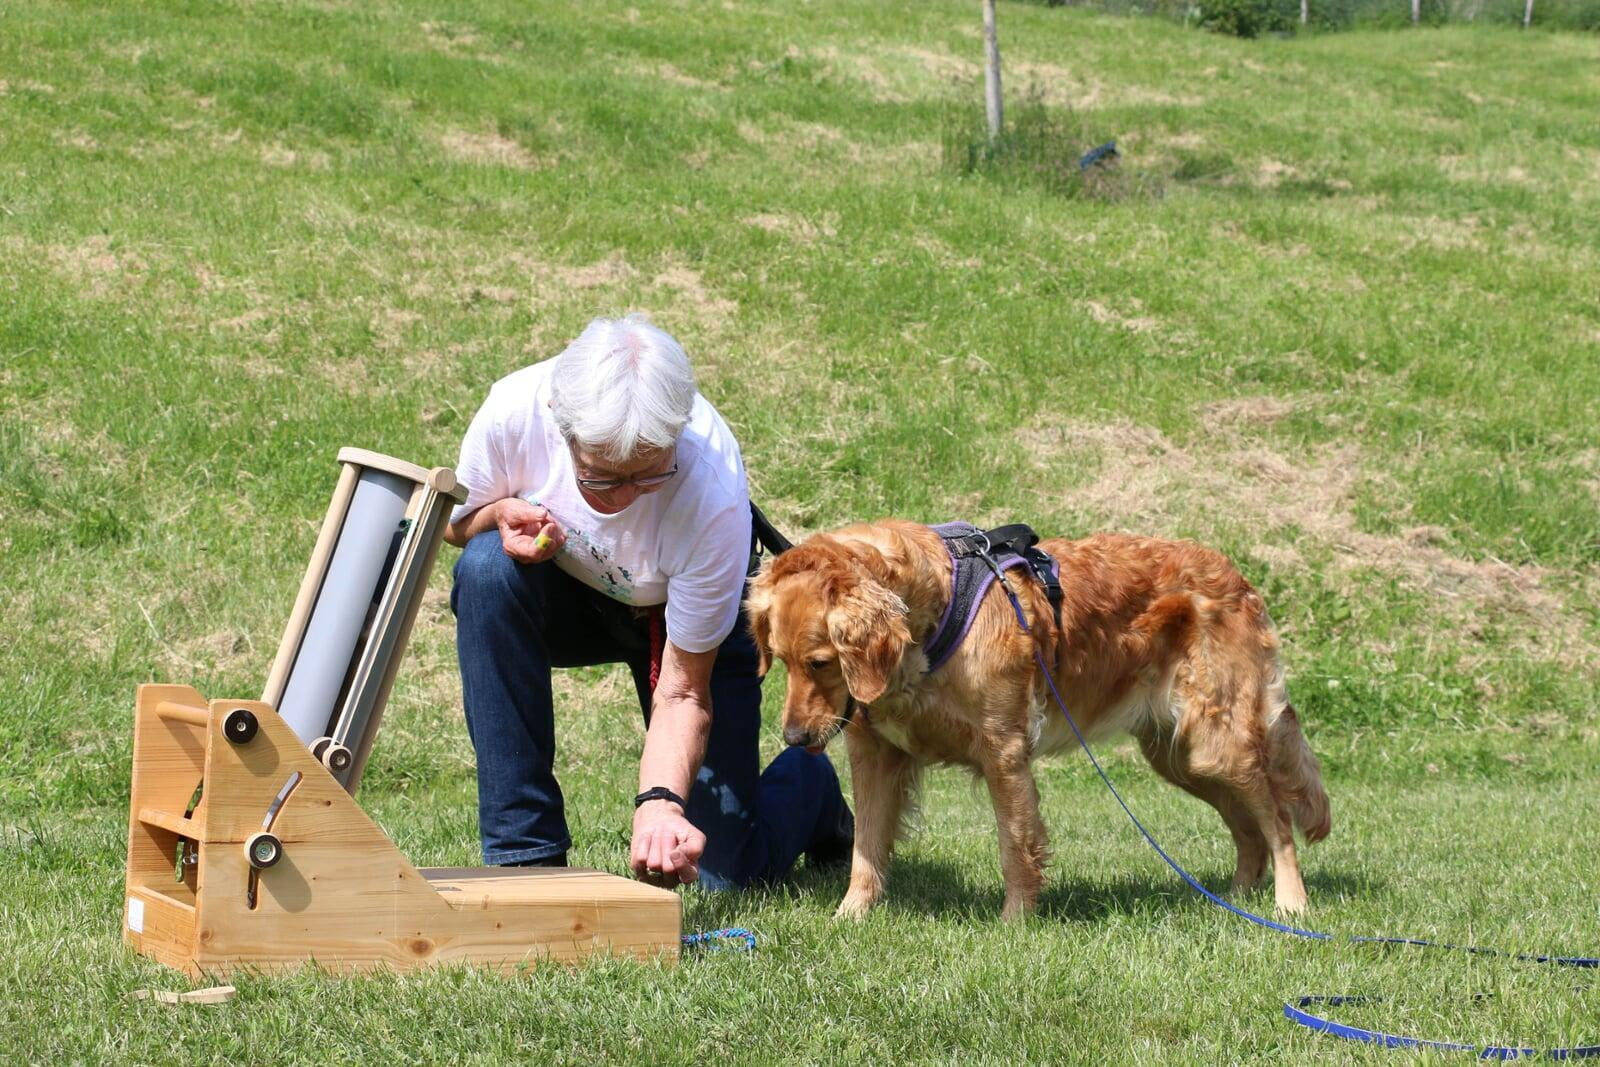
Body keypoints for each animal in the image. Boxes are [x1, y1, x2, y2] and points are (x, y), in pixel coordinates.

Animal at [742, 521, 1331, 921]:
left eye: (821, 662)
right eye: (780, 659)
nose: (793, 737)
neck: (933, 617)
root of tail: (1235, 573)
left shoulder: (1004, 750)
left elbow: (1016, 845)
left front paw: (1015, 923)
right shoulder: (875, 756)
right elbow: (866, 847)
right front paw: (850, 917)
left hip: (1220, 740)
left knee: (1278, 820)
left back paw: (1290, 905)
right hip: (1181, 756)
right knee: (1248, 827)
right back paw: (1238, 898)